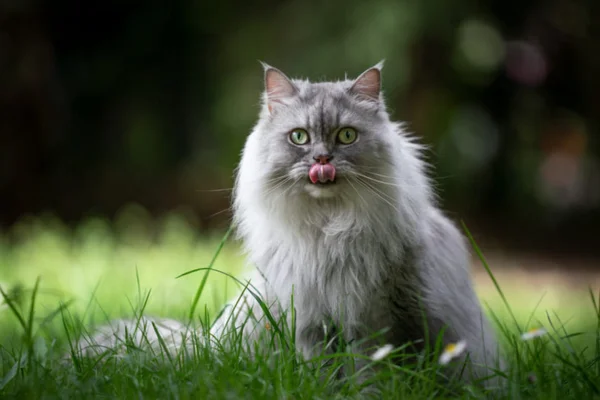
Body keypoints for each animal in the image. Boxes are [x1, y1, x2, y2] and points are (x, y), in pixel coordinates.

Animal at [75, 61, 506, 388]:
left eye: (346, 136)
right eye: (299, 137)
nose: (321, 160)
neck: (328, 230)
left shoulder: (376, 321)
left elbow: (370, 375)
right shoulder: (312, 321)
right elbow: (322, 373)